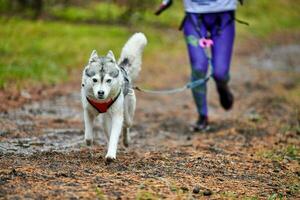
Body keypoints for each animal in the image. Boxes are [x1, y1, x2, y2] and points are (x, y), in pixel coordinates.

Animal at [80, 32, 147, 161]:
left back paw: (126, 140)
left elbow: (114, 136)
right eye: (94, 80)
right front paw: (90, 143)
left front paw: (111, 155)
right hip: (105, 120)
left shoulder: (117, 116)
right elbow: (88, 136)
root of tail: (122, 69)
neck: (102, 102)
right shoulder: (88, 111)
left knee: (126, 125)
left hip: (127, 113)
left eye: (108, 80)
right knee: (108, 131)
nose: (101, 92)